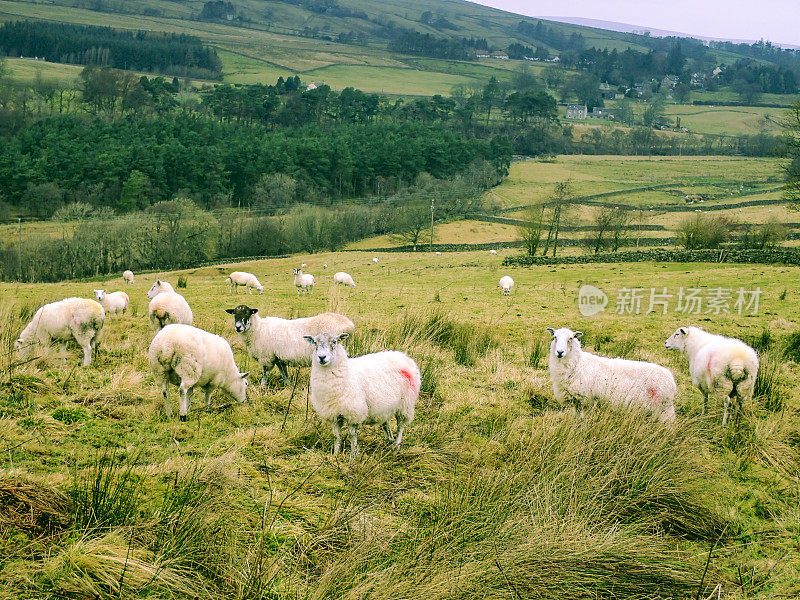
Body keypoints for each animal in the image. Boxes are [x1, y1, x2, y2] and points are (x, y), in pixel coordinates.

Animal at [223, 304, 352, 384]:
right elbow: (284, 374)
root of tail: (349, 324)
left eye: (247, 313)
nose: (238, 327)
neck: (258, 329)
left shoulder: (267, 357)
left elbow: (265, 375)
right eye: (234, 314)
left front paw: (262, 388)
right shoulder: (278, 358)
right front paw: (289, 386)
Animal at [544, 328, 676, 422]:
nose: (559, 352)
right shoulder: (575, 401)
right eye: (555, 337)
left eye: (570, 338)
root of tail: (671, 379)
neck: (577, 364)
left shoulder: (585, 400)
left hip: (664, 408)